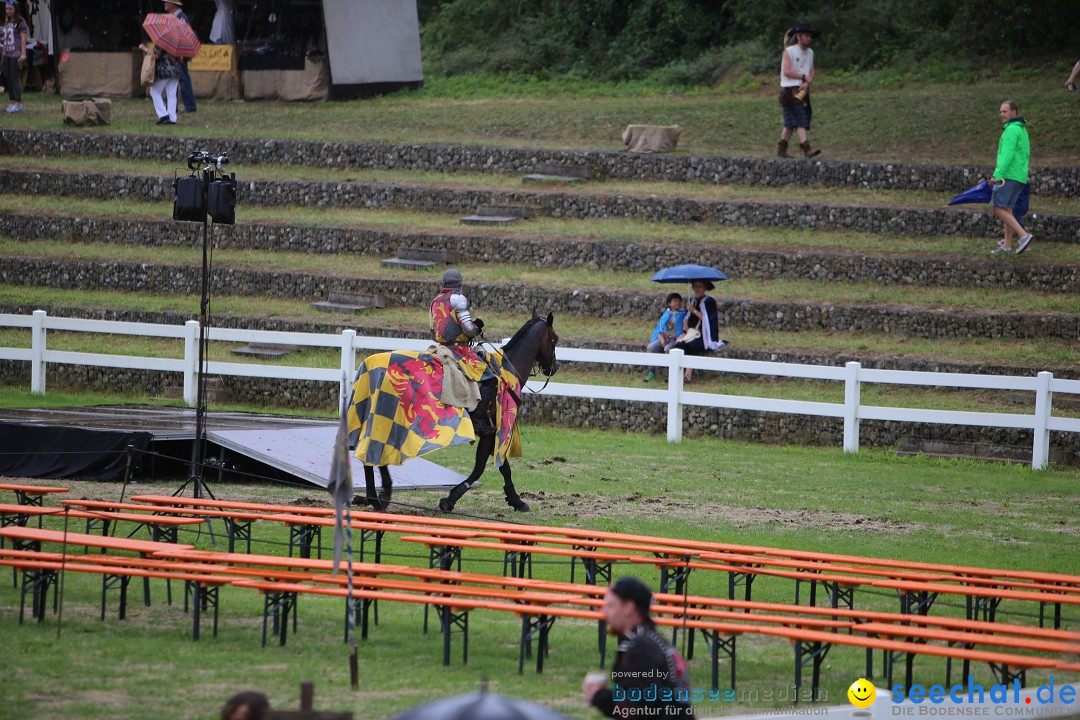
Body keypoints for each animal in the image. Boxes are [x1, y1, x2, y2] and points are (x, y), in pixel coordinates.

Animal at [349, 313, 561, 511]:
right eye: (555, 339)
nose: (554, 367)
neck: (506, 370)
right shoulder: (493, 431)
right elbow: (484, 468)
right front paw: (452, 498)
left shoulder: (493, 432)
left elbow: (501, 467)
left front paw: (514, 499)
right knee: (375, 452)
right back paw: (380, 496)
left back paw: (378, 496)